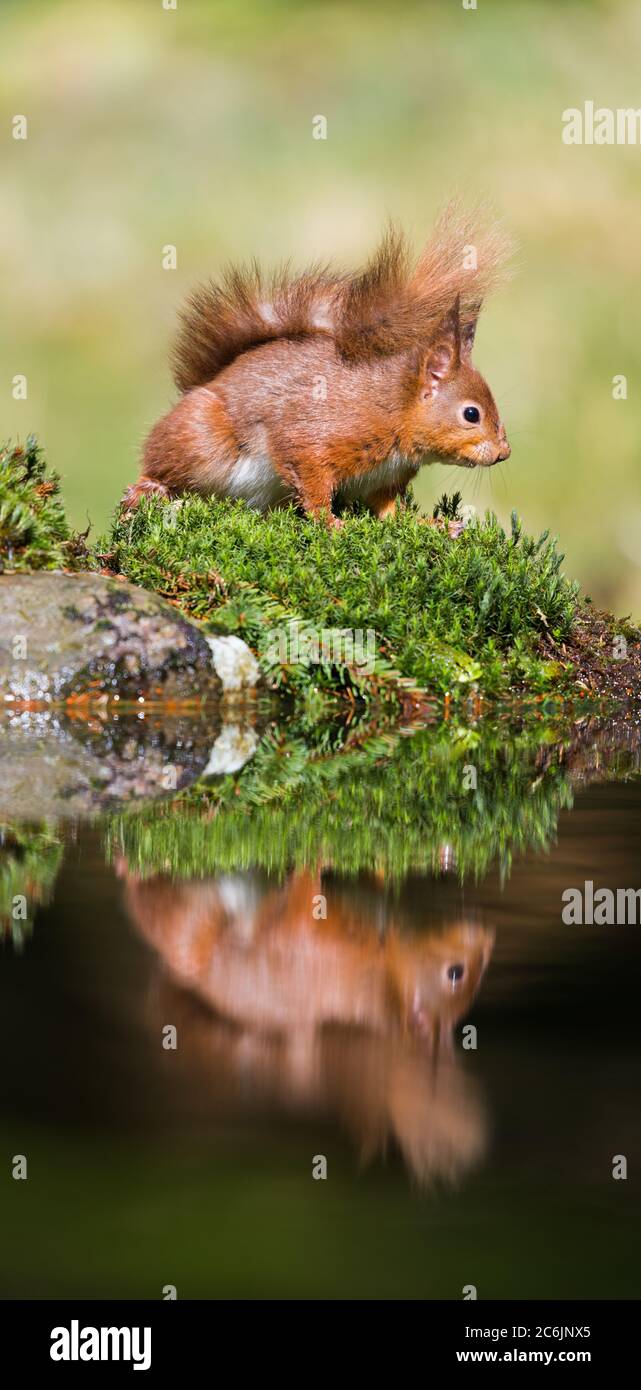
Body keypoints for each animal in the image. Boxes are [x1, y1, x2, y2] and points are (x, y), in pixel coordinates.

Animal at [125, 205, 508, 525]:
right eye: (471, 414)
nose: (504, 454)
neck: (396, 409)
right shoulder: (320, 439)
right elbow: (310, 479)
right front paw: (331, 523)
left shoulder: (384, 478)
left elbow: (386, 511)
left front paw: (430, 525)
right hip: (201, 440)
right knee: (160, 465)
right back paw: (147, 489)